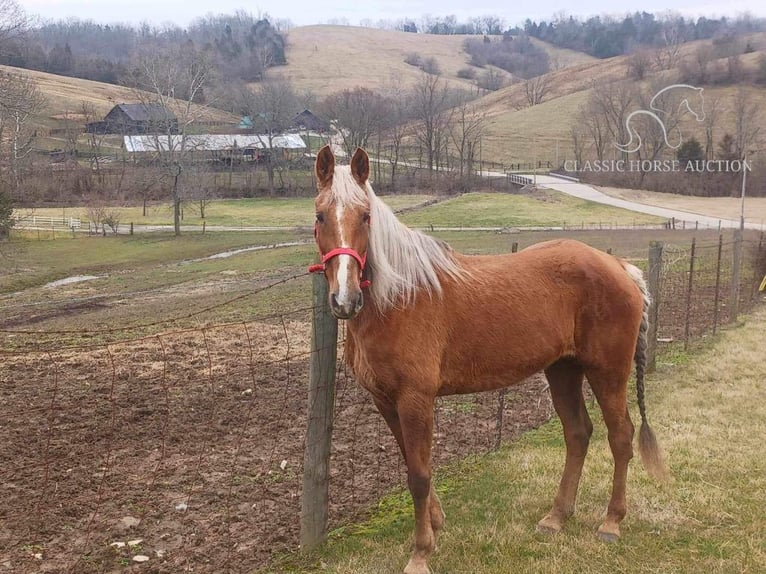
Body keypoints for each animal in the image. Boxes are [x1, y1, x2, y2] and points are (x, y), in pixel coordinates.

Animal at [310, 146, 664, 572]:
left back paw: (611, 522)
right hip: (563, 370)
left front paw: (421, 552)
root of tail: (620, 267)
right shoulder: (385, 400)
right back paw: (556, 517)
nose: (344, 300)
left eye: (365, 216)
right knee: (578, 434)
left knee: (621, 436)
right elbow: (412, 464)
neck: (398, 297)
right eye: (320, 215)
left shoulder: (415, 400)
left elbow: (419, 476)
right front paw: (436, 524)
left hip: (607, 372)